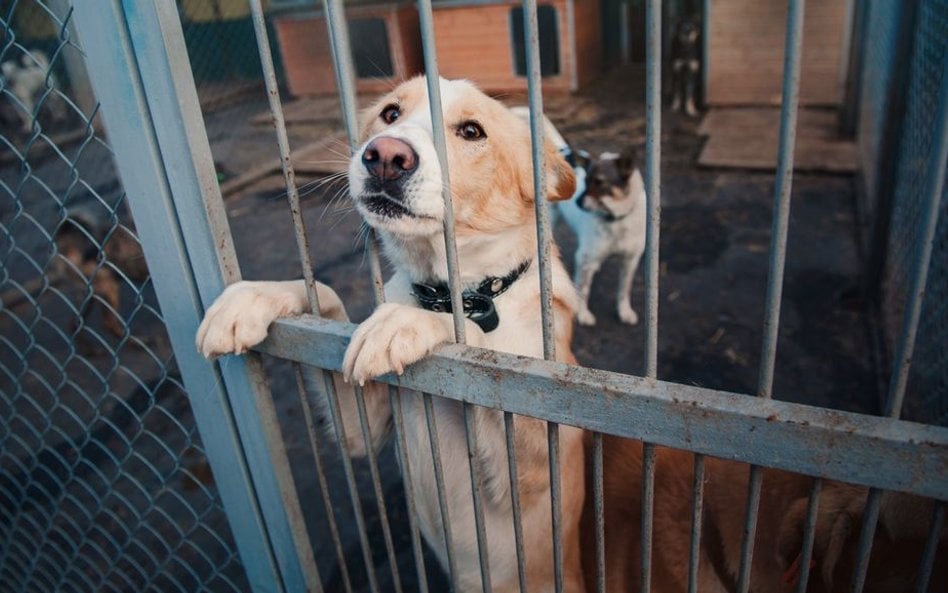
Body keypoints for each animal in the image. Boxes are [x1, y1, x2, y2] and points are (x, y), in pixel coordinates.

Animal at [197, 76, 588, 588]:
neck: (448, 286)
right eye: (390, 114)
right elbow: (324, 295)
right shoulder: (360, 430)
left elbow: (474, 341)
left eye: (471, 131)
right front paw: (251, 298)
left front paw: (406, 321)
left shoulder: (532, 470)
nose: (385, 155)